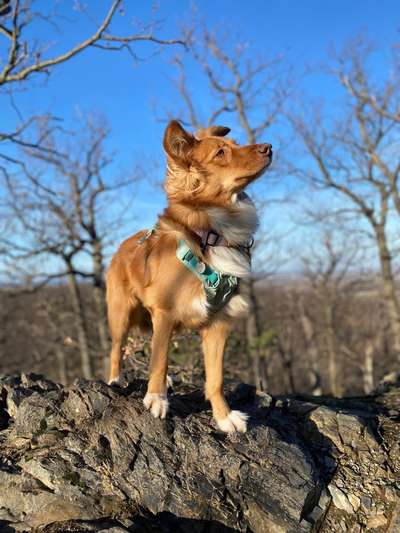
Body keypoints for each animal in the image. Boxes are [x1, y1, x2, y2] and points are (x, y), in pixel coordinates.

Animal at [106, 121, 272, 432]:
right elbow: (159, 360)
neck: (211, 233)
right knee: (117, 347)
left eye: (235, 143)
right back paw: (116, 379)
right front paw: (156, 398)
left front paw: (224, 416)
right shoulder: (165, 311)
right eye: (220, 152)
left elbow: (216, 378)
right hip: (120, 312)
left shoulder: (219, 321)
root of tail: (123, 244)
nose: (269, 147)